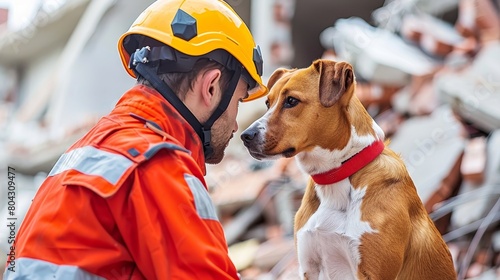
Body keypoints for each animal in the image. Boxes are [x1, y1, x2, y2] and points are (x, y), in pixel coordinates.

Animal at [240, 59, 456, 280]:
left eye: (291, 101)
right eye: (268, 103)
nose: (245, 136)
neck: (334, 177)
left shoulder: (373, 273)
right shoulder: (309, 266)